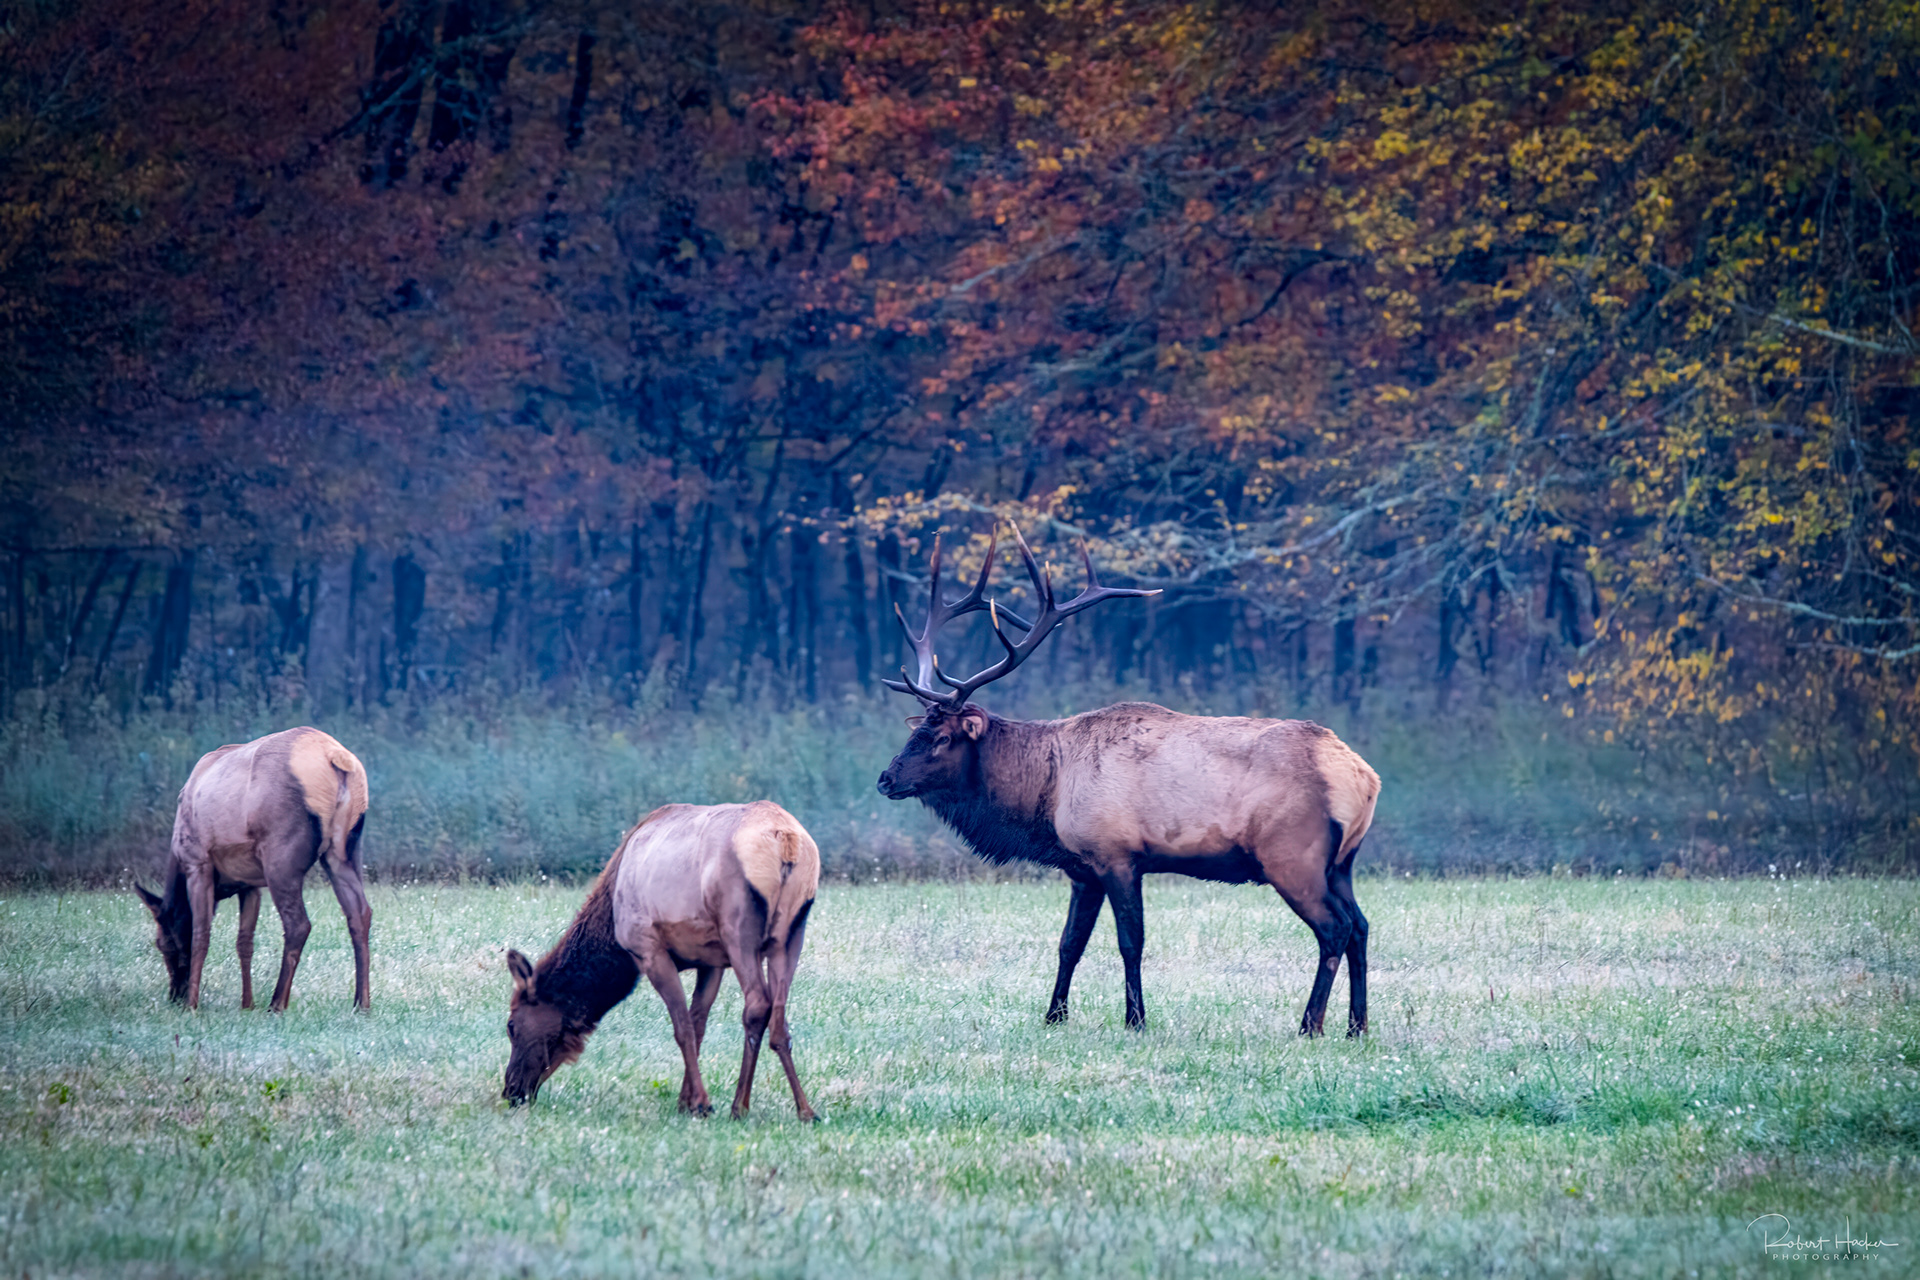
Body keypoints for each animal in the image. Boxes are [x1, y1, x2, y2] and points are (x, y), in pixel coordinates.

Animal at [135, 726, 372, 1012]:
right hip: (344, 850)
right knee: (360, 913)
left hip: (281, 856)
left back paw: (277, 1003)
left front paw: (193, 1005)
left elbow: (200, 934)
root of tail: (337, 758)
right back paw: (361, 1003)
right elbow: (245, 942)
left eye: (162, 943)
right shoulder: (249, 884)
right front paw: (246, 1003)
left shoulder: (197, 862)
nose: (174, 995)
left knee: (298, 924)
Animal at [501, 801, 820, 1121]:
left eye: (511, 1025)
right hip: (791, 933)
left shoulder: (649, 949)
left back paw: (739, 1106)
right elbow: (698, 1023)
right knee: (779, 1017)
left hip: (738, 929)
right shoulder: (711, 960)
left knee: (756, 1005)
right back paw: (805, 1109)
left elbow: (683, 1028)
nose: (511, 1091)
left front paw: (700, 1103)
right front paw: (685, 1101)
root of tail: (787, 841)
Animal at [875, 526, 1381, 1037]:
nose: (885, 779)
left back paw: (1310, 1025)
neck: (1046, 797)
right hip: (1342, 862)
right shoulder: (1082, 869)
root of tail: (1362, 775)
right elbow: (1069, 943)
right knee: (1360, 925)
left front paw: (1135, 1019)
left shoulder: (1116, 854)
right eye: (913, 731)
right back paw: (1357, 1026)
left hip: (1292, 855)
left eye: (939, 737)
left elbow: (1129, 941)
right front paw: (1054, 1015)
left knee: (1334, 928)